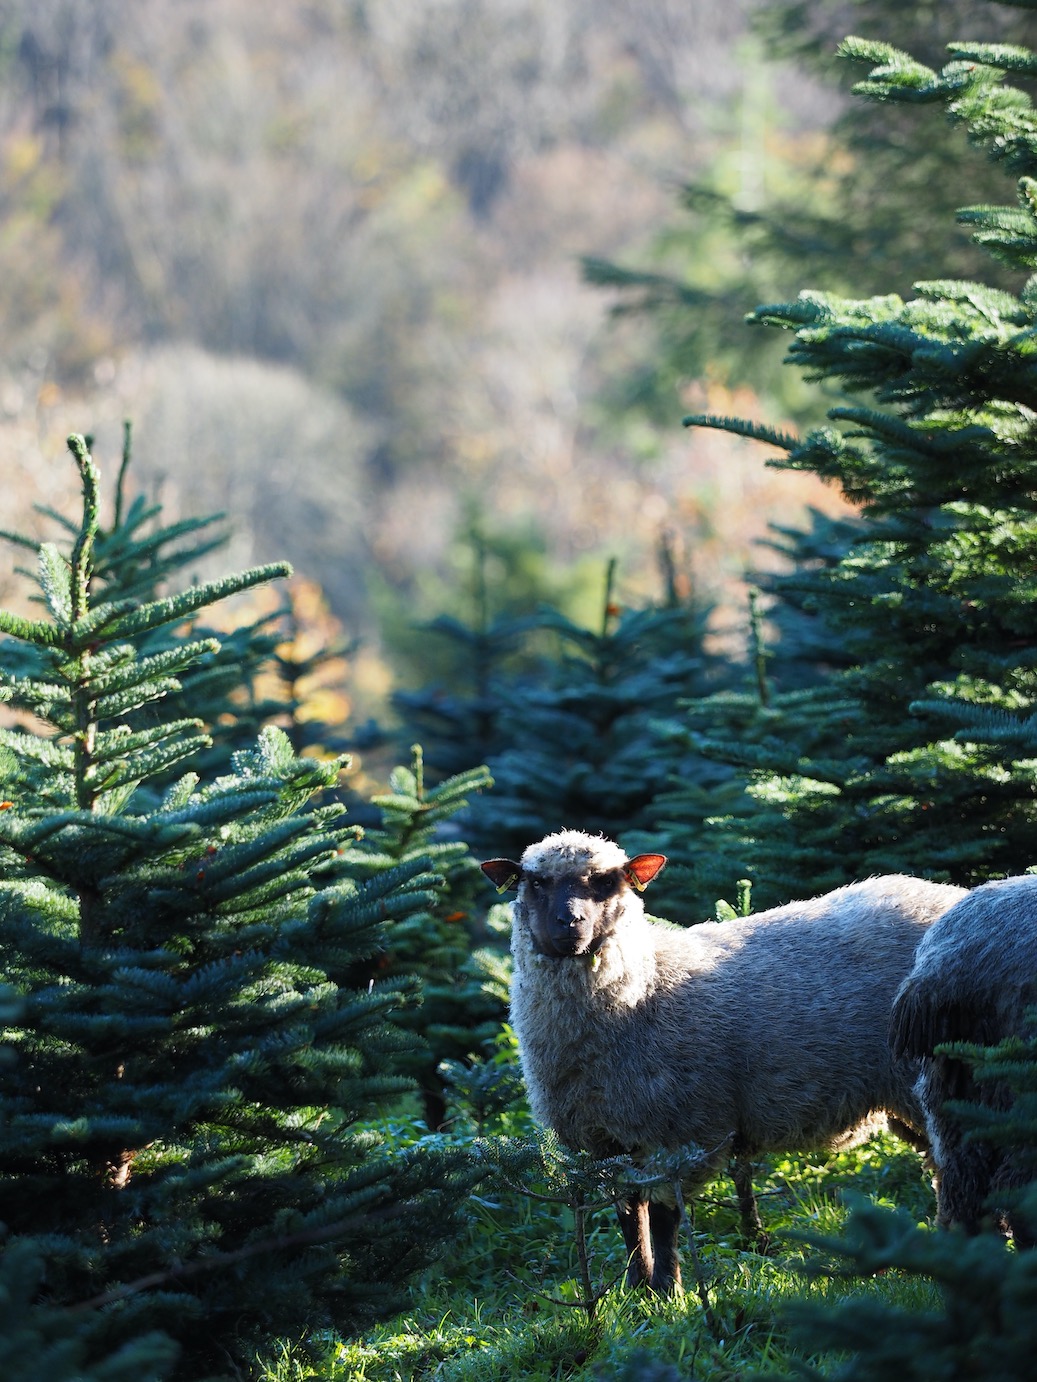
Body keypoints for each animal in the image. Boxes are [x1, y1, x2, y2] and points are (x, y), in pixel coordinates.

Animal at [483, 829, 973, 1293]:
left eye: (606, 882)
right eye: (535, 882)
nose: (570, 923)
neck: (644, 989)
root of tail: (957, 894)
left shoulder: (681, 1132)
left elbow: (664, 1218)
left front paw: (668, 1291)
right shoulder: (601, 1140)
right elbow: (629, 1217)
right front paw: (637, 1287)